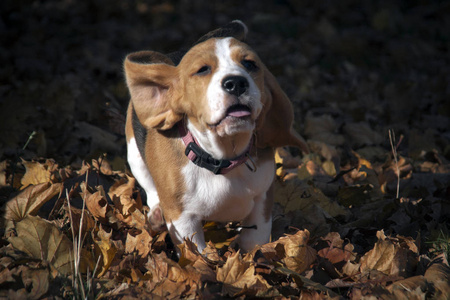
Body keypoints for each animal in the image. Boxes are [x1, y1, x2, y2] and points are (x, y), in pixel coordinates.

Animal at [123, 20, 308, 253]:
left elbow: (253, 240)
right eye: (202, 70)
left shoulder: (262, 200)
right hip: (134, 156)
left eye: (250, 64)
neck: (222, 159)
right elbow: (198, 254)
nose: (236, 83)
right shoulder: (183, 221)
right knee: (150, 186)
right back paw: (156, 213)